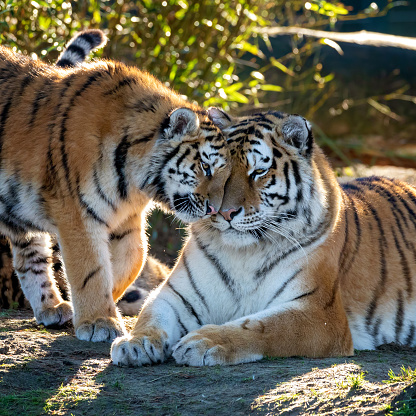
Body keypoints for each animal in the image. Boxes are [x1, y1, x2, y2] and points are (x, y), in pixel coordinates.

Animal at [110, 108, 416, 368]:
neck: (244, 254)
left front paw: (205, 341)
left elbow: (262, 326)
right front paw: (134, 343)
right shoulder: (176, 295)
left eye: (258, 172)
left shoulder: (318, 311)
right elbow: (151, 314)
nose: (224, 211)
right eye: (215, 169)